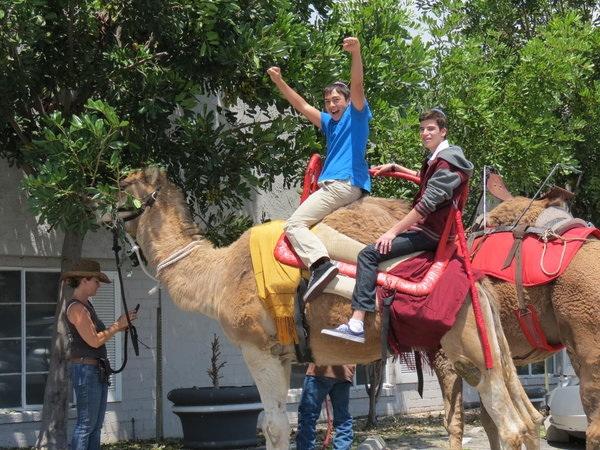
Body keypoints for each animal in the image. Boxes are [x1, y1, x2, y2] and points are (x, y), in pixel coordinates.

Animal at [118, 169, 540, 450]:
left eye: (122, 187)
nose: (104, 208)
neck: (220, 274)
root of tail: (475, 282)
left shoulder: (259, 348)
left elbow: (274, 426)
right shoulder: (285, 353)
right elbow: (284, 422)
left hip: (470, 348)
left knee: (511, 425)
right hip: (486, 344)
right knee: (527, 421)